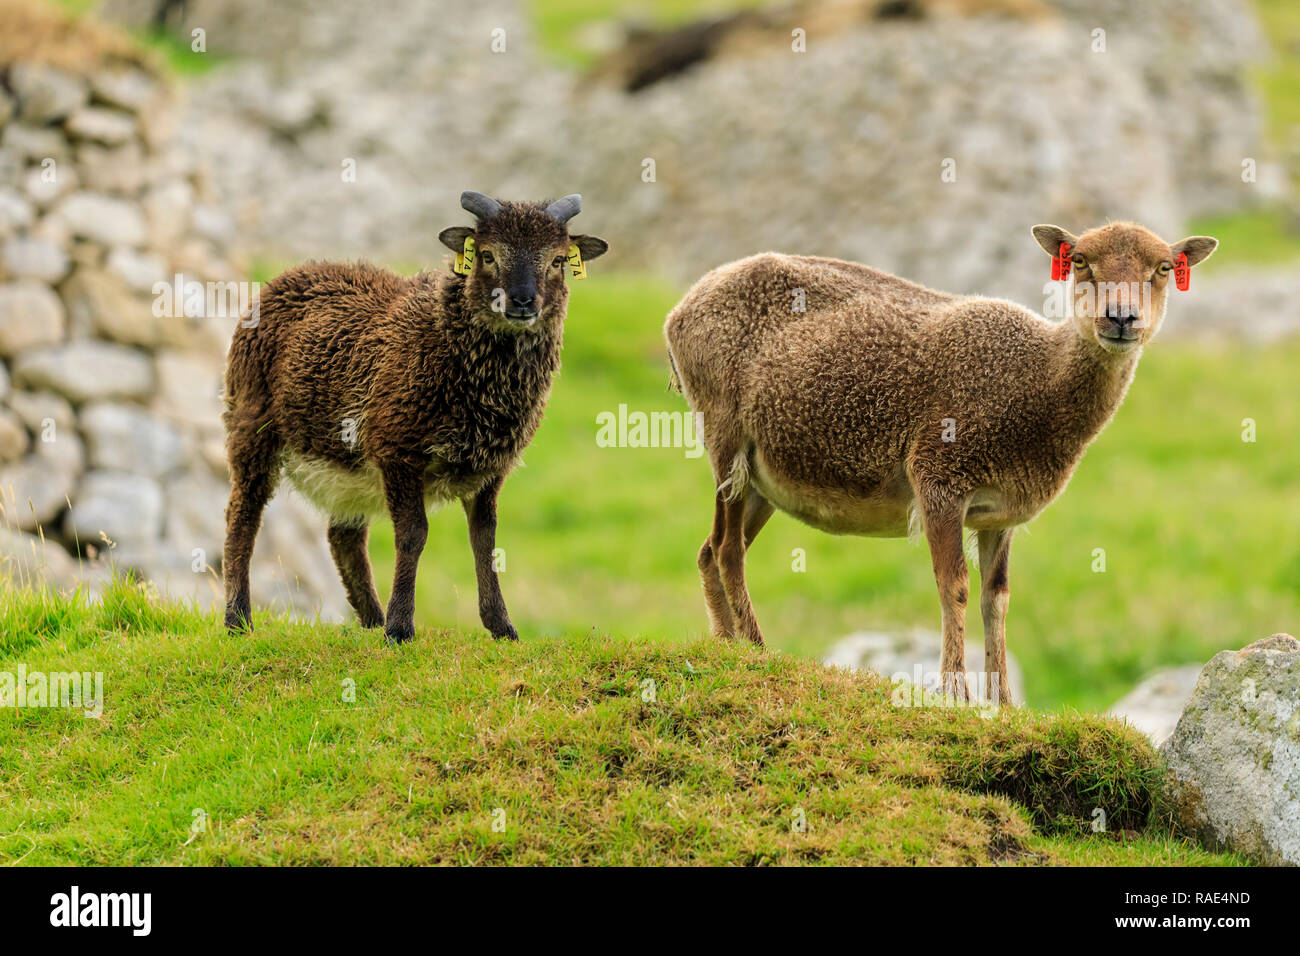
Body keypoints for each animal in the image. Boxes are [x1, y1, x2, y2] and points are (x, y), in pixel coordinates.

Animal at [223, 191, 608, 647]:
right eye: (487, 255)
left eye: (558, 260)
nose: (522, 302)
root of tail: (290, 274)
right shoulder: (398, 449)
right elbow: (413, 535)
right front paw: (401, 628)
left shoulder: (490, 467)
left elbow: (485, 542)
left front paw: (501, 627)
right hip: (251, 425)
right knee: (242, 516)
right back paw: (237, 619)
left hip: (346, 468)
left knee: (343, 538)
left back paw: (370, 621)